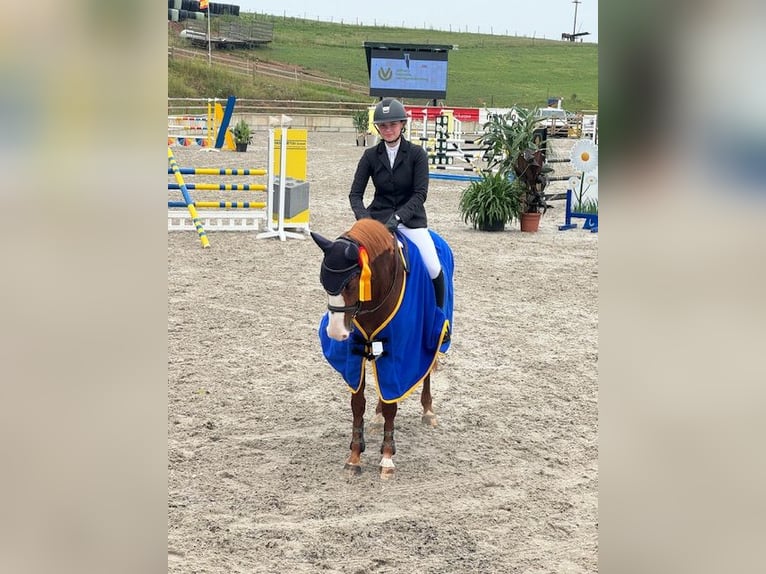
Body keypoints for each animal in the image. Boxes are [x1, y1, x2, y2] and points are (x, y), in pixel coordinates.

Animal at [314, 218, 456, 480]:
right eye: (323, 282)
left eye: (351, 283)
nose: (336, 333)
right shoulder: (354, 355)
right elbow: (358, 404)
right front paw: (354, 457)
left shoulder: (402, 352)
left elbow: (392, 405)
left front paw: (387, 458)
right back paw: (377, 416)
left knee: (427, 369)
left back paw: (428, 412)